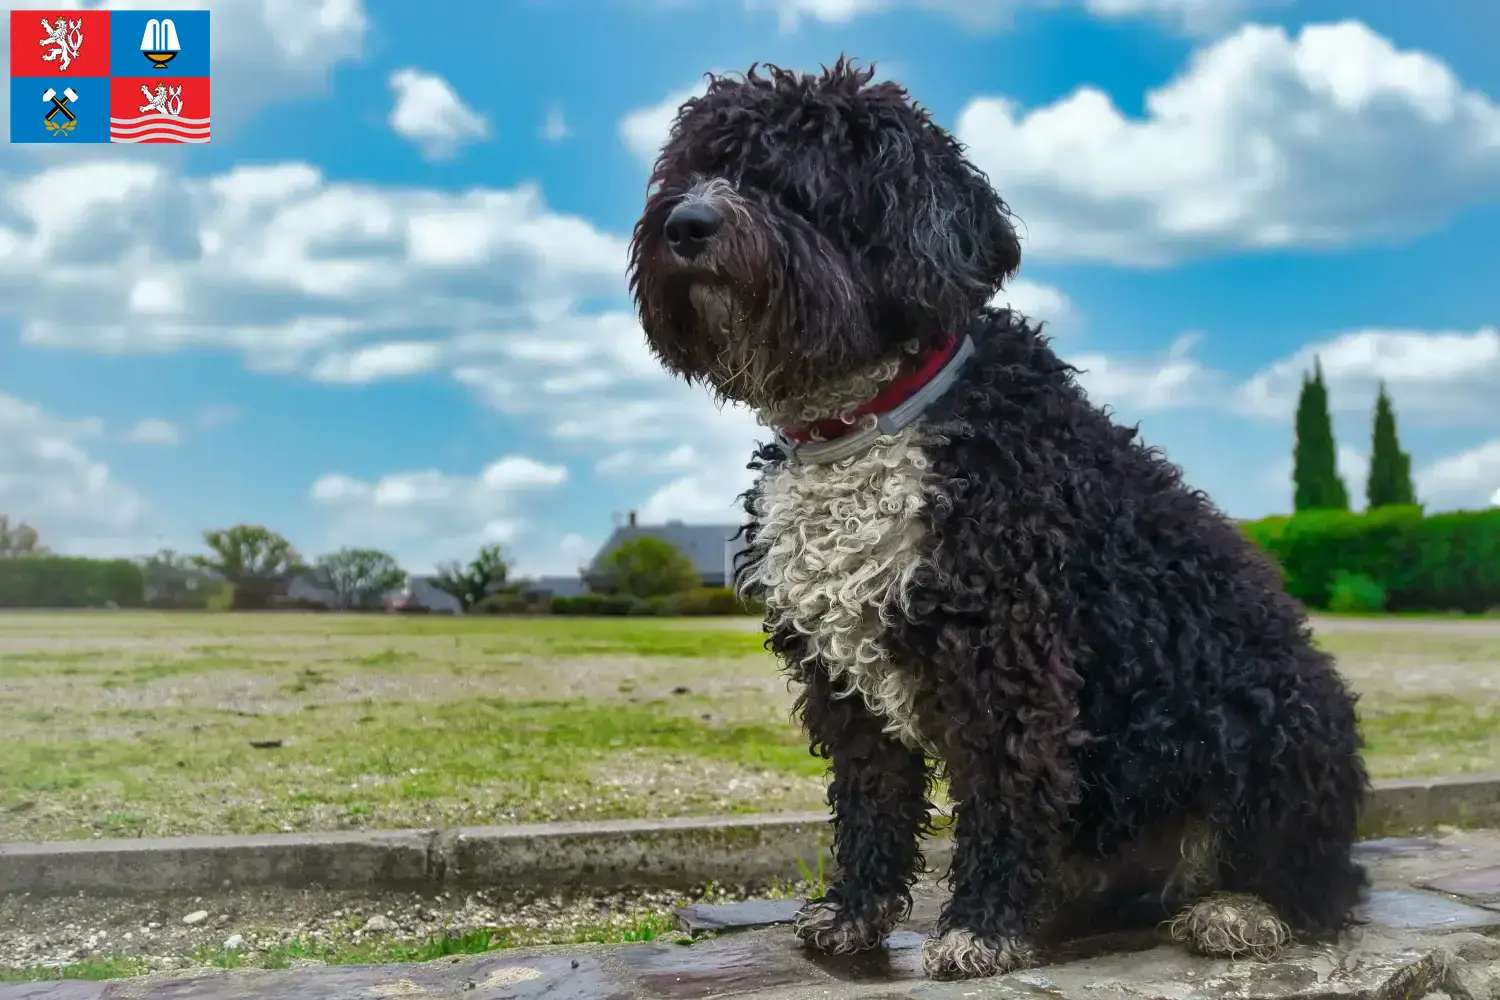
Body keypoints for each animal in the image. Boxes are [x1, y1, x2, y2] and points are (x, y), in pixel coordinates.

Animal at [627, 58, 1368, 983]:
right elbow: (871, 802)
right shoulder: (844, 683)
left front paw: (980, 924)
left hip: (1285, 717)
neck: (868, 419)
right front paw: (854, 912)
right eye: (692, 170)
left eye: (793, 181)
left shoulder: (1008, 656)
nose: (686, 224)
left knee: (1324, 886)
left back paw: (1242, 910)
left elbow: (1004, 795)